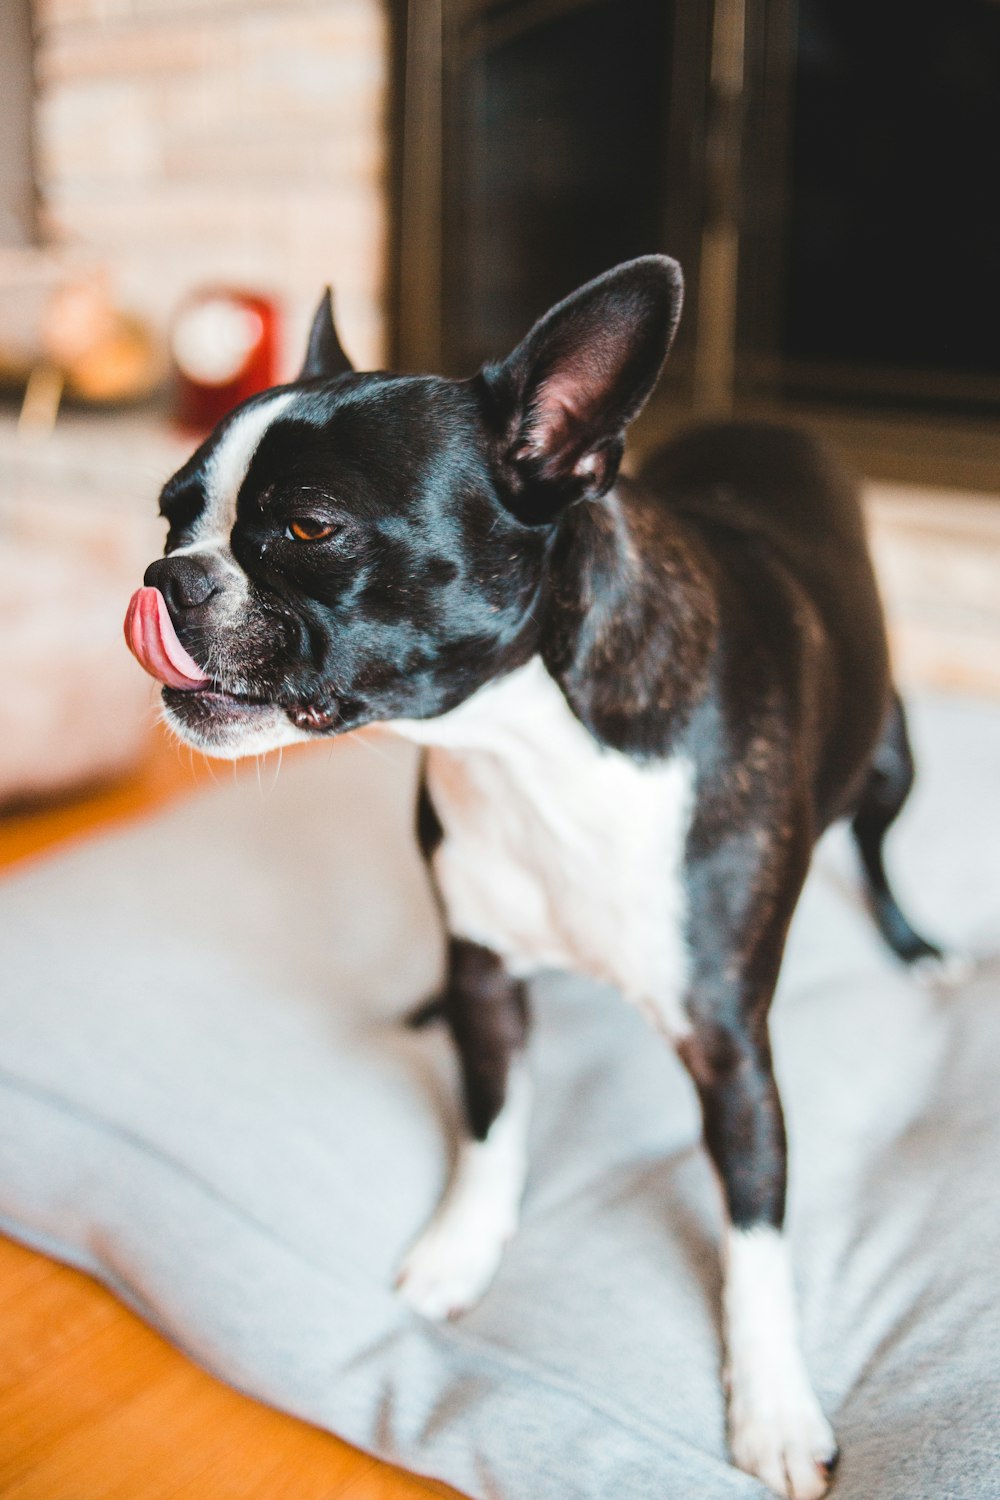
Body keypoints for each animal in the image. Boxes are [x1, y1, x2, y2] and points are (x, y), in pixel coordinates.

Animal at [127, 261, 947, 1500]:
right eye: (172, 511)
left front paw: (773, 1405)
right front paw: (461, 1249)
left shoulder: (731, 1050)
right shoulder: (485, 973)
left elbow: (754, 1232)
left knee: (882, 851)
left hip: (892, 758)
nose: (166, 574)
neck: (525, 744)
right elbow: (491, 1124)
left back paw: (915, 950)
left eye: (310, 527)